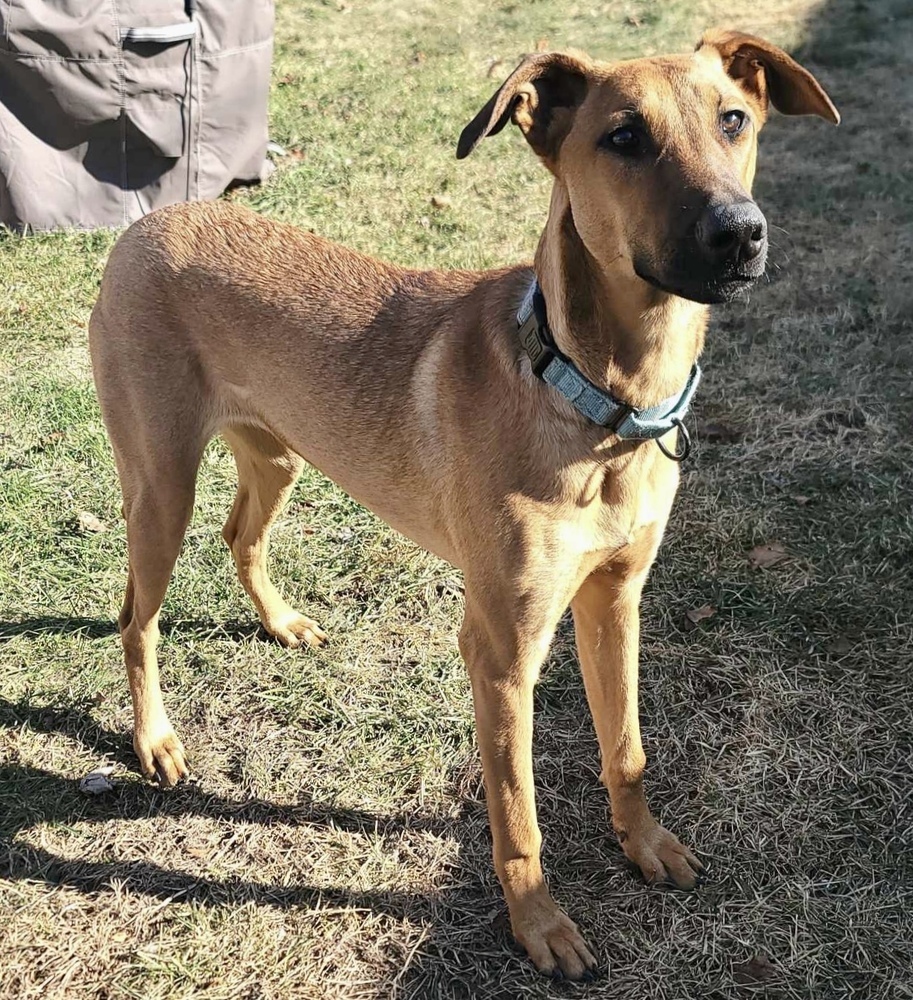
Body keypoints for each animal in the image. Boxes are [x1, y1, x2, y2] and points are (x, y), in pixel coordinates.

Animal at [89, 29, 836, 976]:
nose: (739, 232)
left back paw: (281, 621)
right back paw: (154, 739)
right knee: (137, 620)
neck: (592, 399)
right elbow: (516, 813)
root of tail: (148, 224)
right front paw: (539, 926)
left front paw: (645, 844)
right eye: (623, 138)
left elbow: (625, 748)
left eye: (733, 120)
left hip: (277, 454)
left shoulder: (615, 602)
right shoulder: (500, 651)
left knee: (240, 535)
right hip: (160, 487)